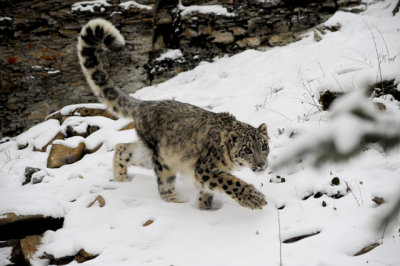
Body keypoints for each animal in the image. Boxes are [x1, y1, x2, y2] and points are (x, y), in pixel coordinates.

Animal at [77, 18, 268, 210]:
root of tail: (145, 104)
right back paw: (175, 203)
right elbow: (228, 182)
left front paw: (204, 208)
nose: (261, 164)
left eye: (264, 146)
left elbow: (207, 191)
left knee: (123, 148)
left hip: (152, 155)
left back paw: (121, 178)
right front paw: (254, 198)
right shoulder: (205, 169)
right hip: (164, 160)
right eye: (247, 149)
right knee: (164, 185)